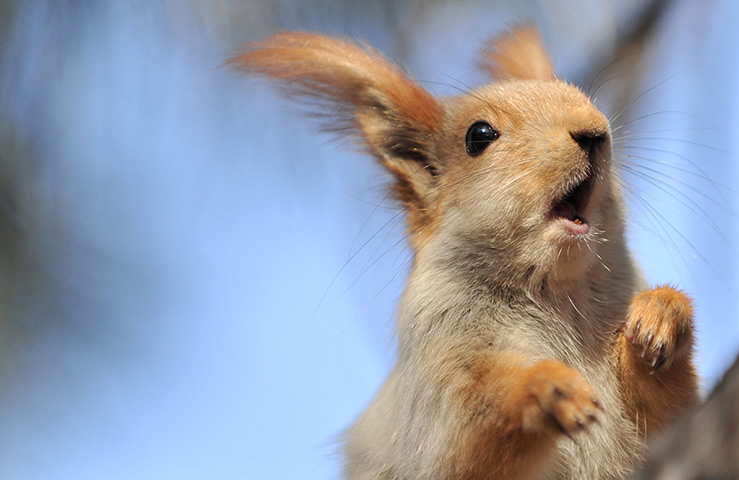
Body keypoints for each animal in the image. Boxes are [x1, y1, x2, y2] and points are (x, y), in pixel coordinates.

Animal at [231, 26, 699, 480]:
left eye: (584, 96)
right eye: (479, 136)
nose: (595, 130)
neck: (554, 291)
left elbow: (671, 411)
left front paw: (662, 315)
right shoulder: (438, 385)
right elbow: (472, 440)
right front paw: (545, 388)